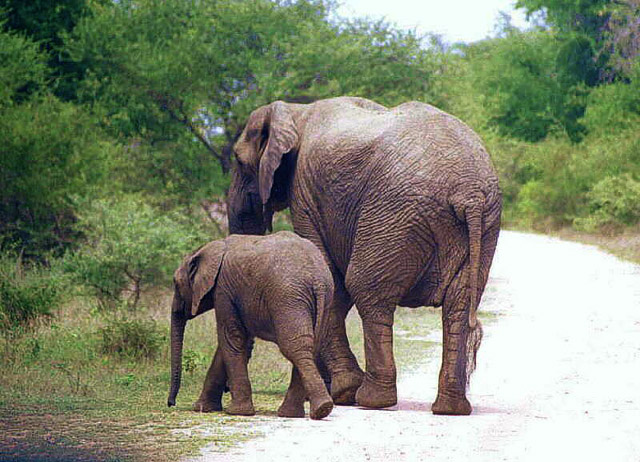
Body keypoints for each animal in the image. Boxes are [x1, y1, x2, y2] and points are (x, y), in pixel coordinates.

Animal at [165, 231, 336, 418]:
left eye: (175, 283)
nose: (171, 403)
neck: (208, 248)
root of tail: (318, 281)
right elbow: (236, 343)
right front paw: (203, 408)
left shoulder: (223, 290)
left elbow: (231, 338)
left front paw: (237, 412)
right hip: (324, 299)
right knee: (311, 347)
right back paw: (298, 413)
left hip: (287, 299)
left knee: (295, 347)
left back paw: (316, 409)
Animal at [228, 96, 502, 416]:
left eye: (238, 161)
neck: (296, 111)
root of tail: (468, 192)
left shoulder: (305, 194)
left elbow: (332, 281)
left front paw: (342, 392)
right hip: (484, 225)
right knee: (458, 305)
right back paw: (450, 408)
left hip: (396, 211)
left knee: (367, 289)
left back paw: (371, 399)